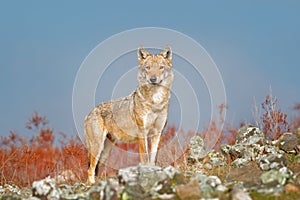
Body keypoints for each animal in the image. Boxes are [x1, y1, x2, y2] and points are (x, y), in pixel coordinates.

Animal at [84, 45, 173, 184]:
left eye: (161, 67)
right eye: (148, 68)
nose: (153, 79)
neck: (155, 102)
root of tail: (89, 113)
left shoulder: (158, 133)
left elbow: (153, 160)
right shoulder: (142, 133)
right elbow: (145, 159)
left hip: (105, 152)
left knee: (94, 169)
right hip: (97, 147)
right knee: (90, 170)